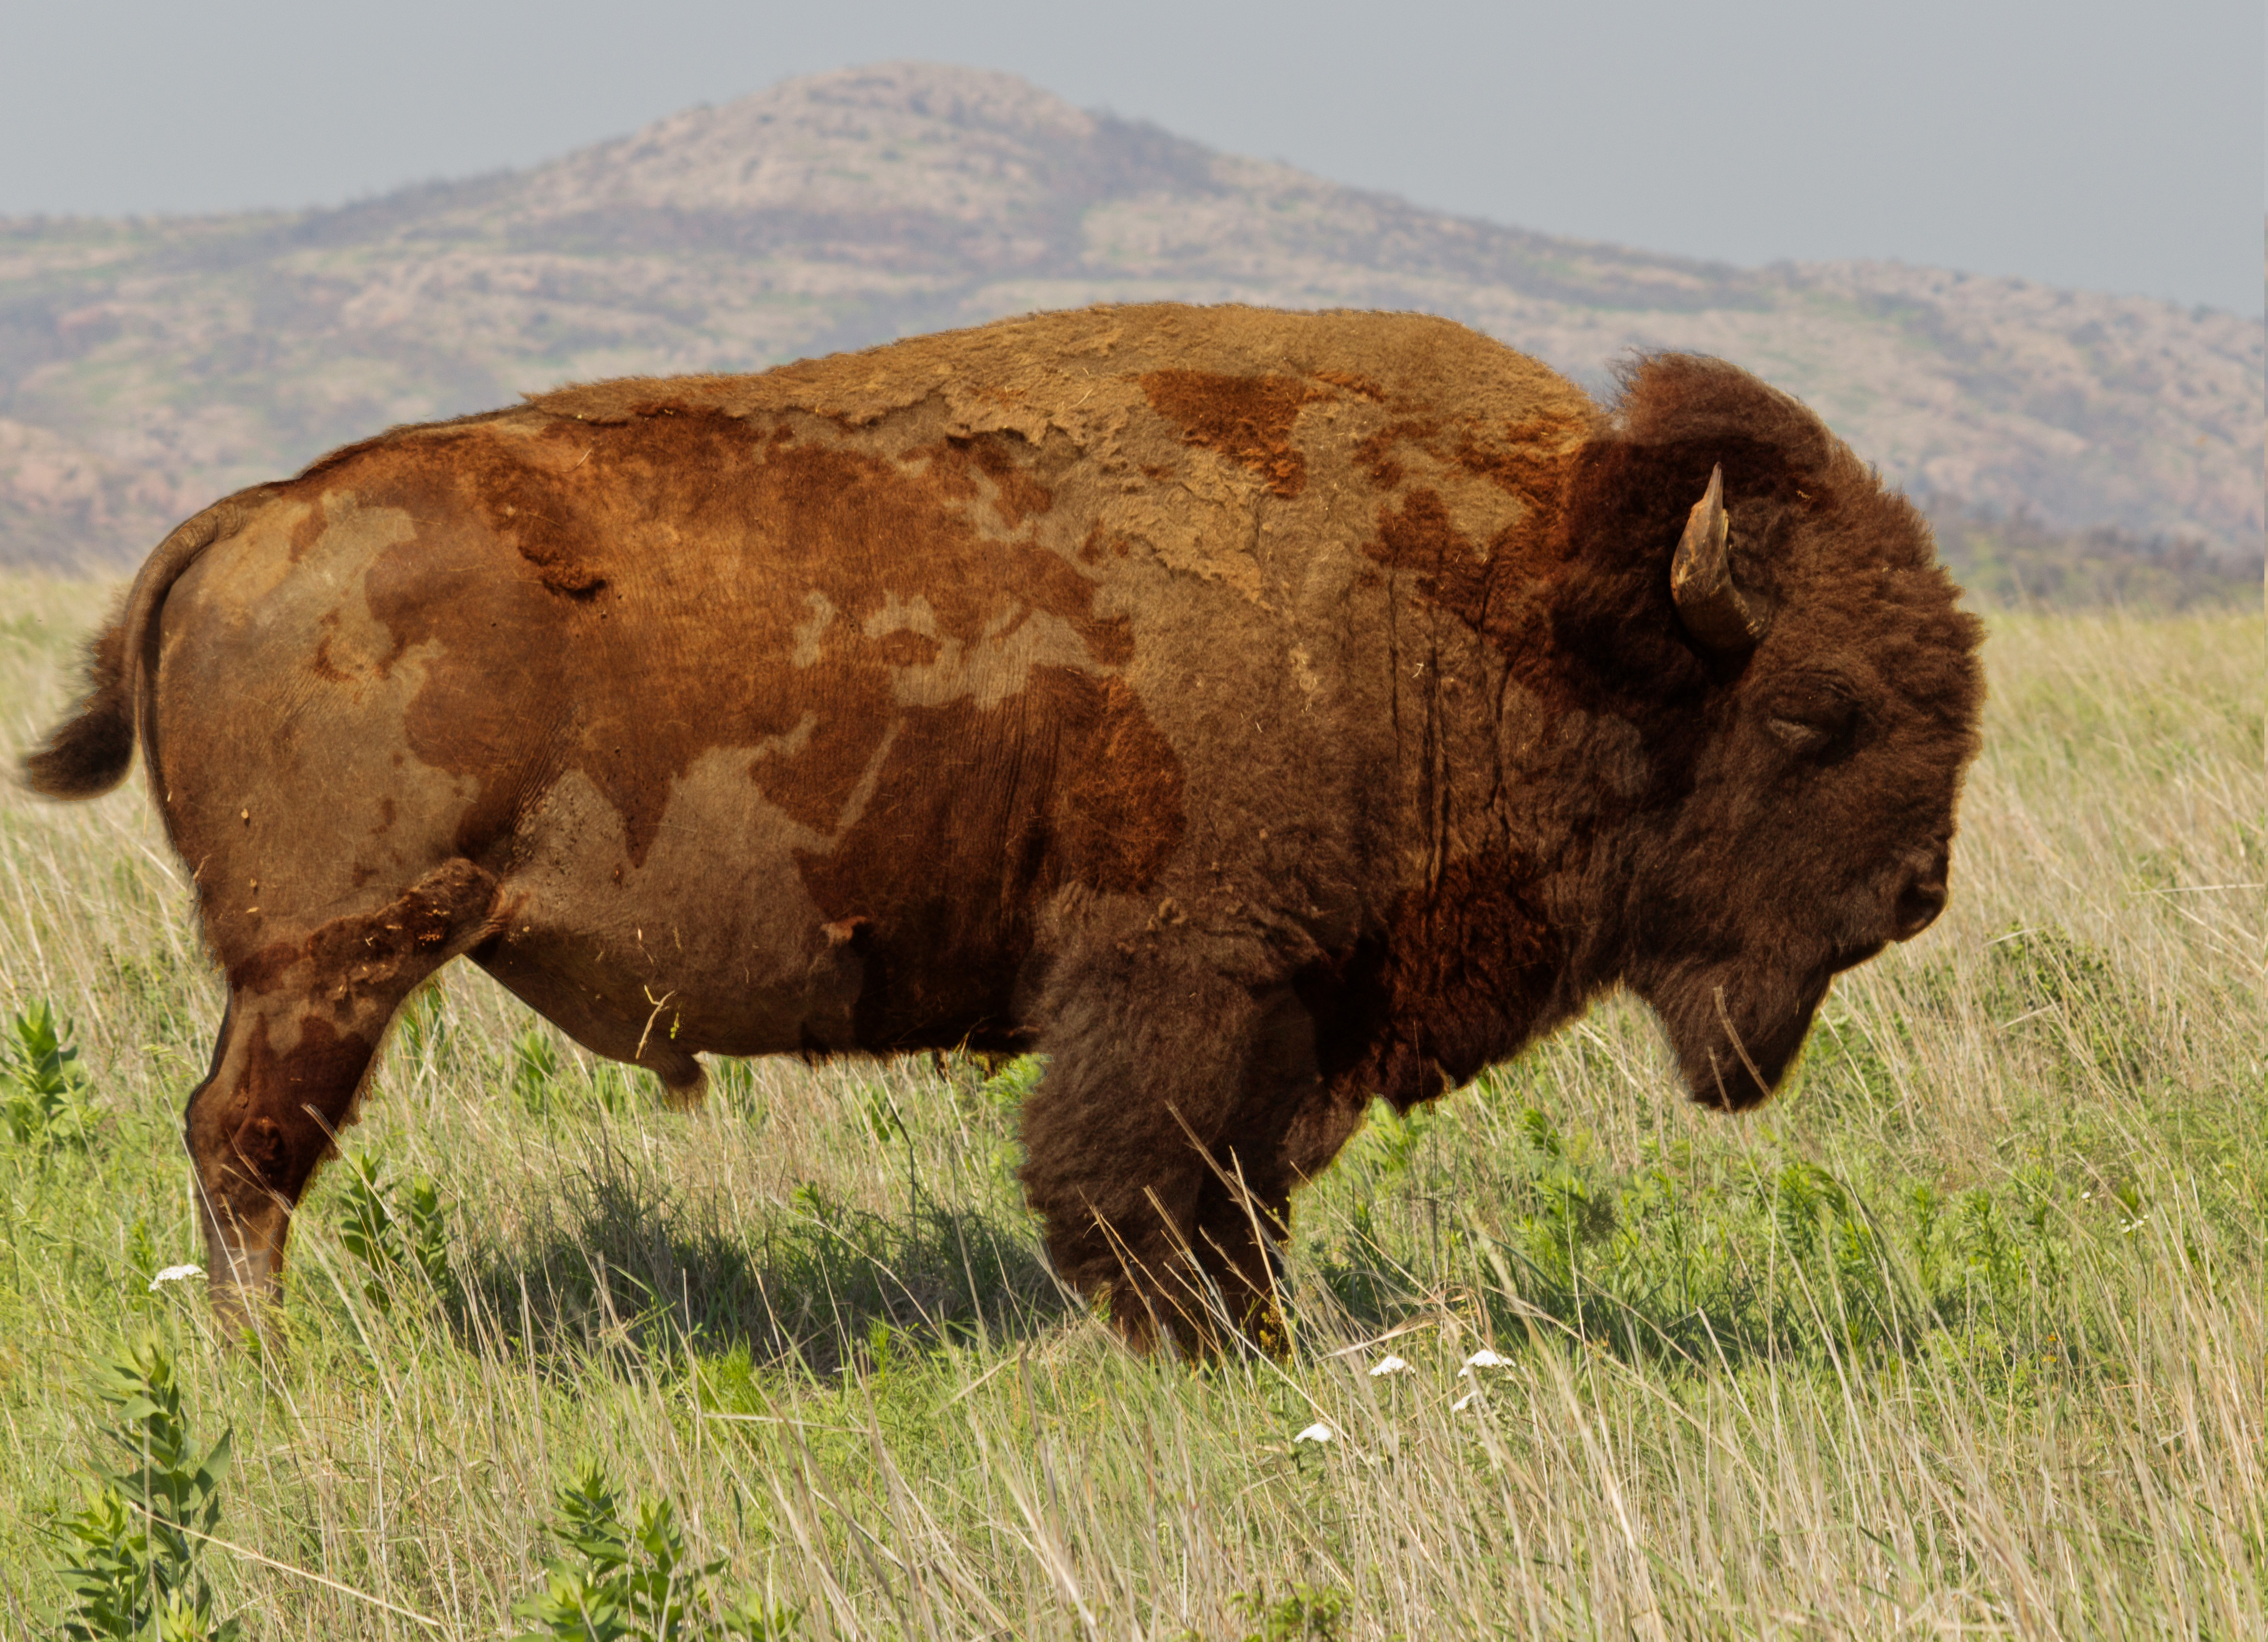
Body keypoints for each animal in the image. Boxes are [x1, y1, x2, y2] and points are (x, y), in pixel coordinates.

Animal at [31, 304, 1987, 1342]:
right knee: (245, 1143)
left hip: (322, 966)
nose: (1913, 892)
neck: (1523, 595)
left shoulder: (1285, 1012)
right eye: (1816, 709)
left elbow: (1240, 1197)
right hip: (336, 960)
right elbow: (1128, 1184)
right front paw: (1207, 1357)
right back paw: (261, 1350)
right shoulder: (1182, 981)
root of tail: (252, 516)